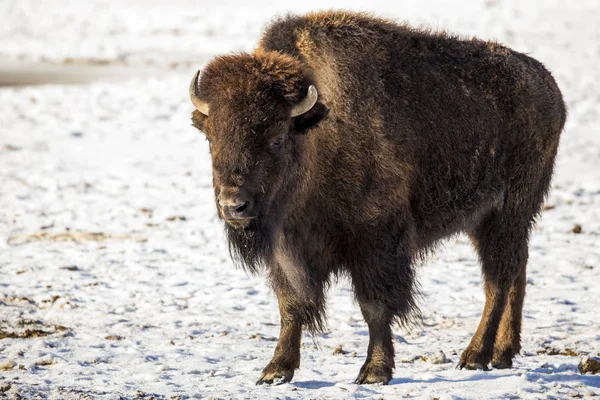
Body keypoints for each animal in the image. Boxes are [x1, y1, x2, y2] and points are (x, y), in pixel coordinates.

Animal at [189, 10, 568, 384]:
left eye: (277, 138)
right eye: (211, 137)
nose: (233, 206)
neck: (318, 132)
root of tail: (551, 89)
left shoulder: (376, 241)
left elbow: (375, 306)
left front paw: (374, 371)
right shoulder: (288, 250)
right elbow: (291, 305)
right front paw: (275, 370)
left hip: (507, 212)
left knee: (497, 281)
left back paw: (475, 356)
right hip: (492, 220)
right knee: (516, 271)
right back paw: (504, 353)